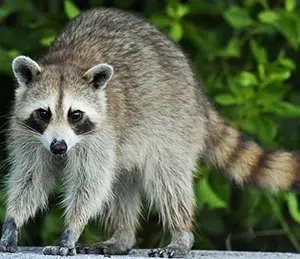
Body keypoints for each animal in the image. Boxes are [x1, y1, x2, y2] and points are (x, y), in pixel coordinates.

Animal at [0, 7, 300, 258]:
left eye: (75, 115)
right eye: (44, 113)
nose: (59, 148)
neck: (67, 61)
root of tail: (198, 95)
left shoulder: (101, 135)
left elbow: (90, 183)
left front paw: (71, 229)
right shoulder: (27, 134)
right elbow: (31, 178)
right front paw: (13, 221)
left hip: (174, 126)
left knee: (167, 180)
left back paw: (181, 234)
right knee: (121, 184)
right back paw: (122, 238)